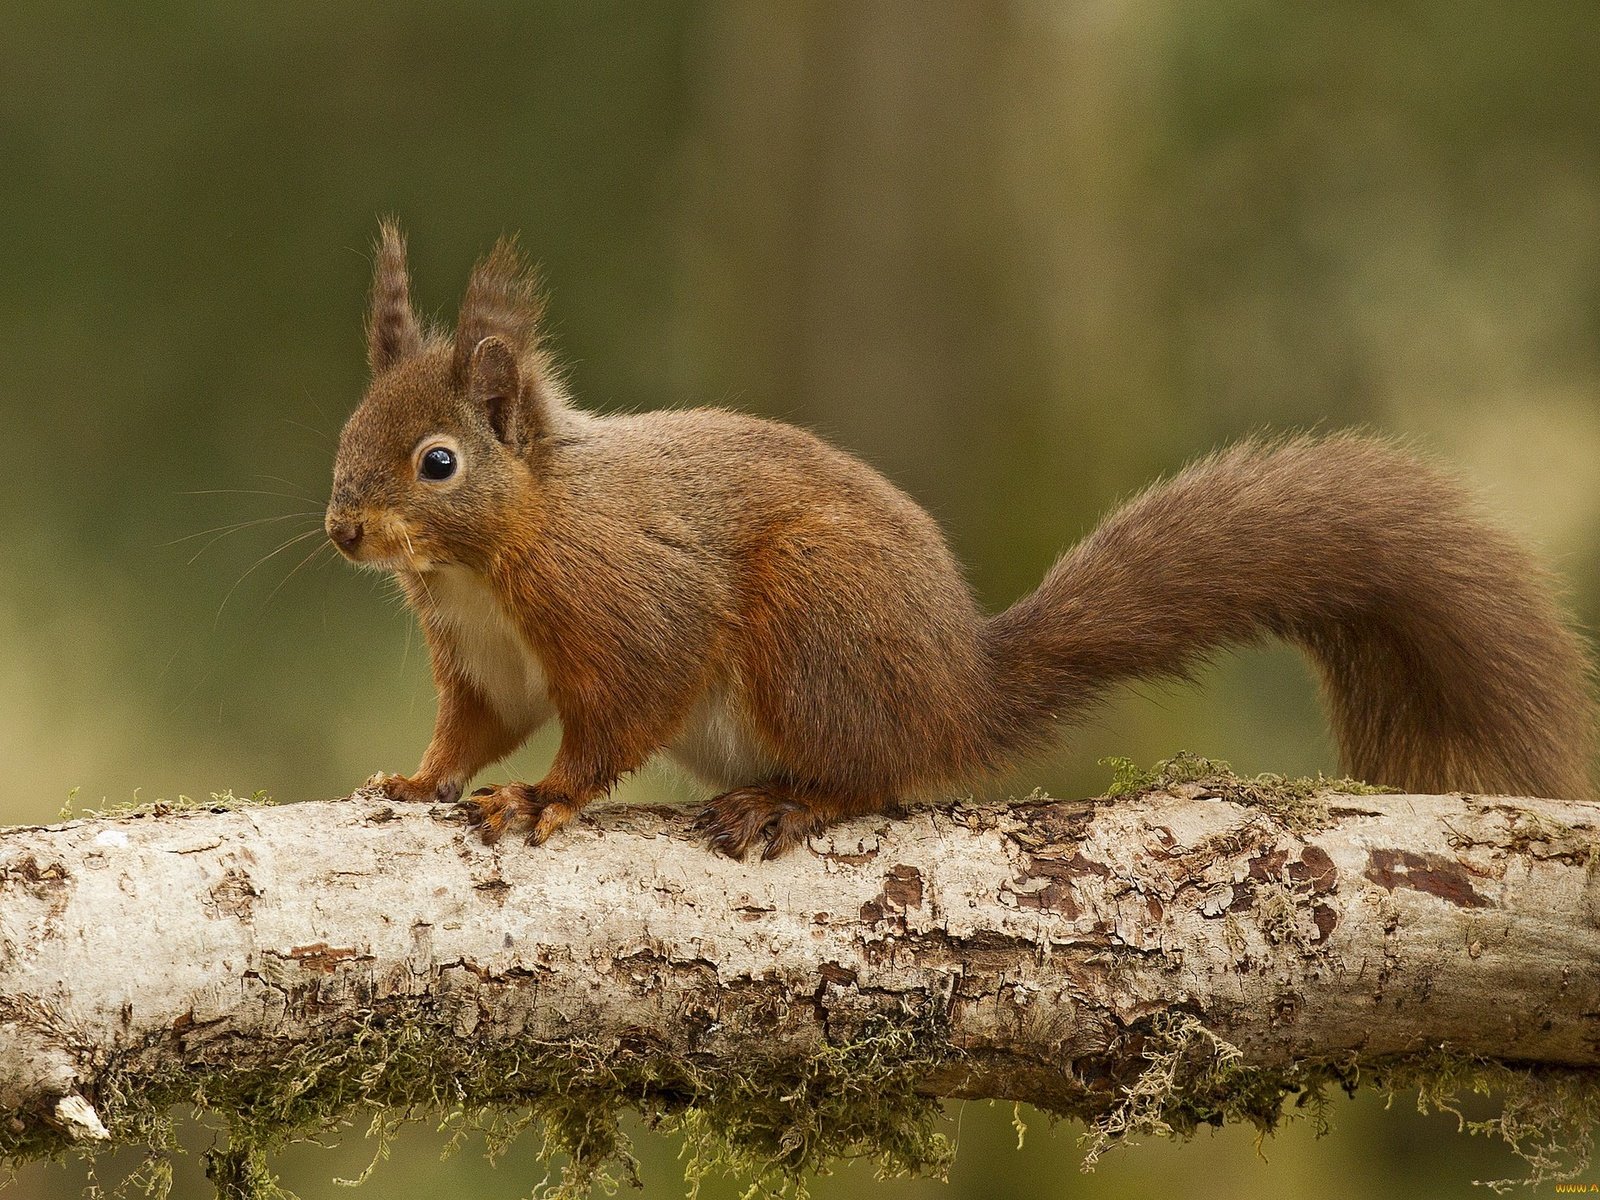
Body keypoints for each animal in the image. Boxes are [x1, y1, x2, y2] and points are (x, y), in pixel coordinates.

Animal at [328, 225, 1600, 857]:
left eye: (438, 462)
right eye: (347, 433)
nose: (344, 531)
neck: (486, 561)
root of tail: (956, 690)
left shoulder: (623, 598)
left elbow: (620, 709)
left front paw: (544, 801)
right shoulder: (483, 656)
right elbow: (478, 725)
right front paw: (417, 778)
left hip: (815, 627)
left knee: (875, 776)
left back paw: (793, 803)